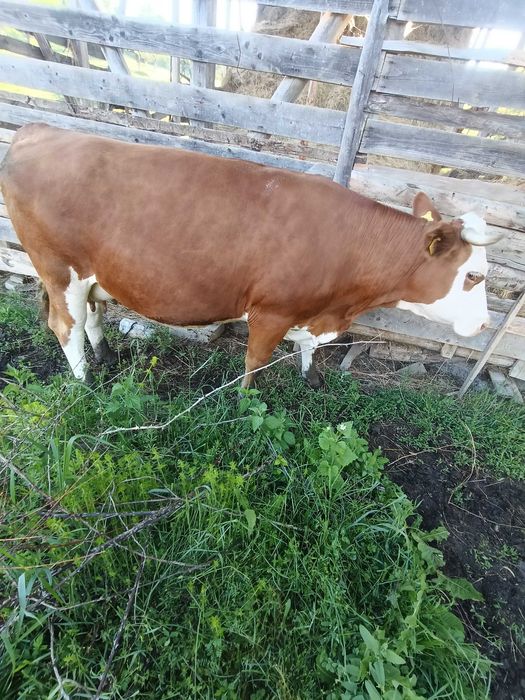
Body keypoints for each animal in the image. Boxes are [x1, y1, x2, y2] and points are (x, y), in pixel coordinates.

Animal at [0, 123, 500, 389]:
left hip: (93, 277)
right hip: (59, 270)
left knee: (92, 317)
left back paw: (105, 358)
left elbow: (308, 350)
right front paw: (246, 400)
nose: (484, 325)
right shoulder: (271, 311)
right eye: (474, 275)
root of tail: (37, 131)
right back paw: (86, 382)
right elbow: (255, 363)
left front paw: (311, 380)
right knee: (65, 326)